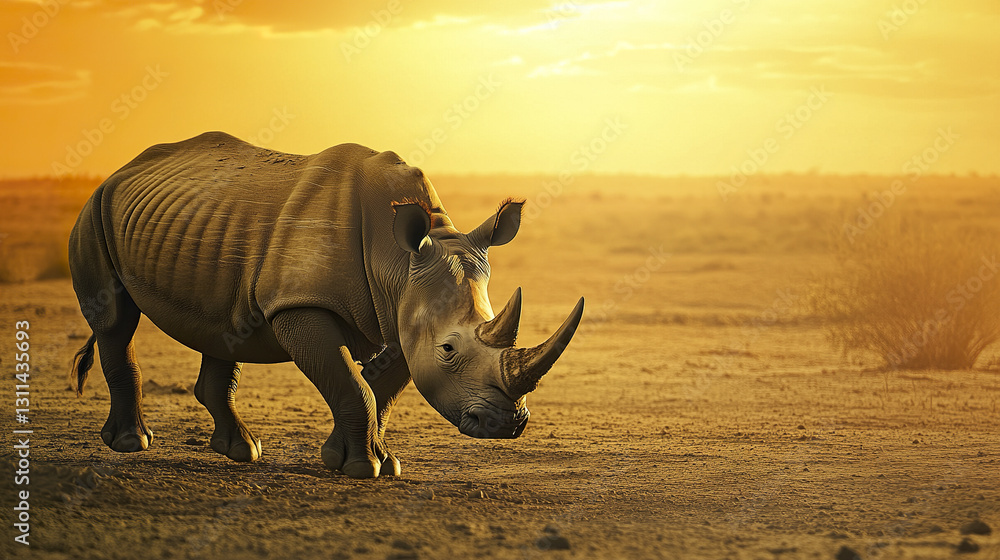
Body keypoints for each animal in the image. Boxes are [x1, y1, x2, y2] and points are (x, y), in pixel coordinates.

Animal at [68, 131, 584, 478]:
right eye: (449, 350)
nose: (507, 424)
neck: (399, 261)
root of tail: (122, 170)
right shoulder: (301, 306)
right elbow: (352, 384)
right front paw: (362, 469)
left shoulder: (402, 312)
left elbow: (379, 388)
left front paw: (371, 461)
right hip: (95, 210)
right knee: (115, 321)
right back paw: (132, 443)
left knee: (224, 327)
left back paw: (242, 451)